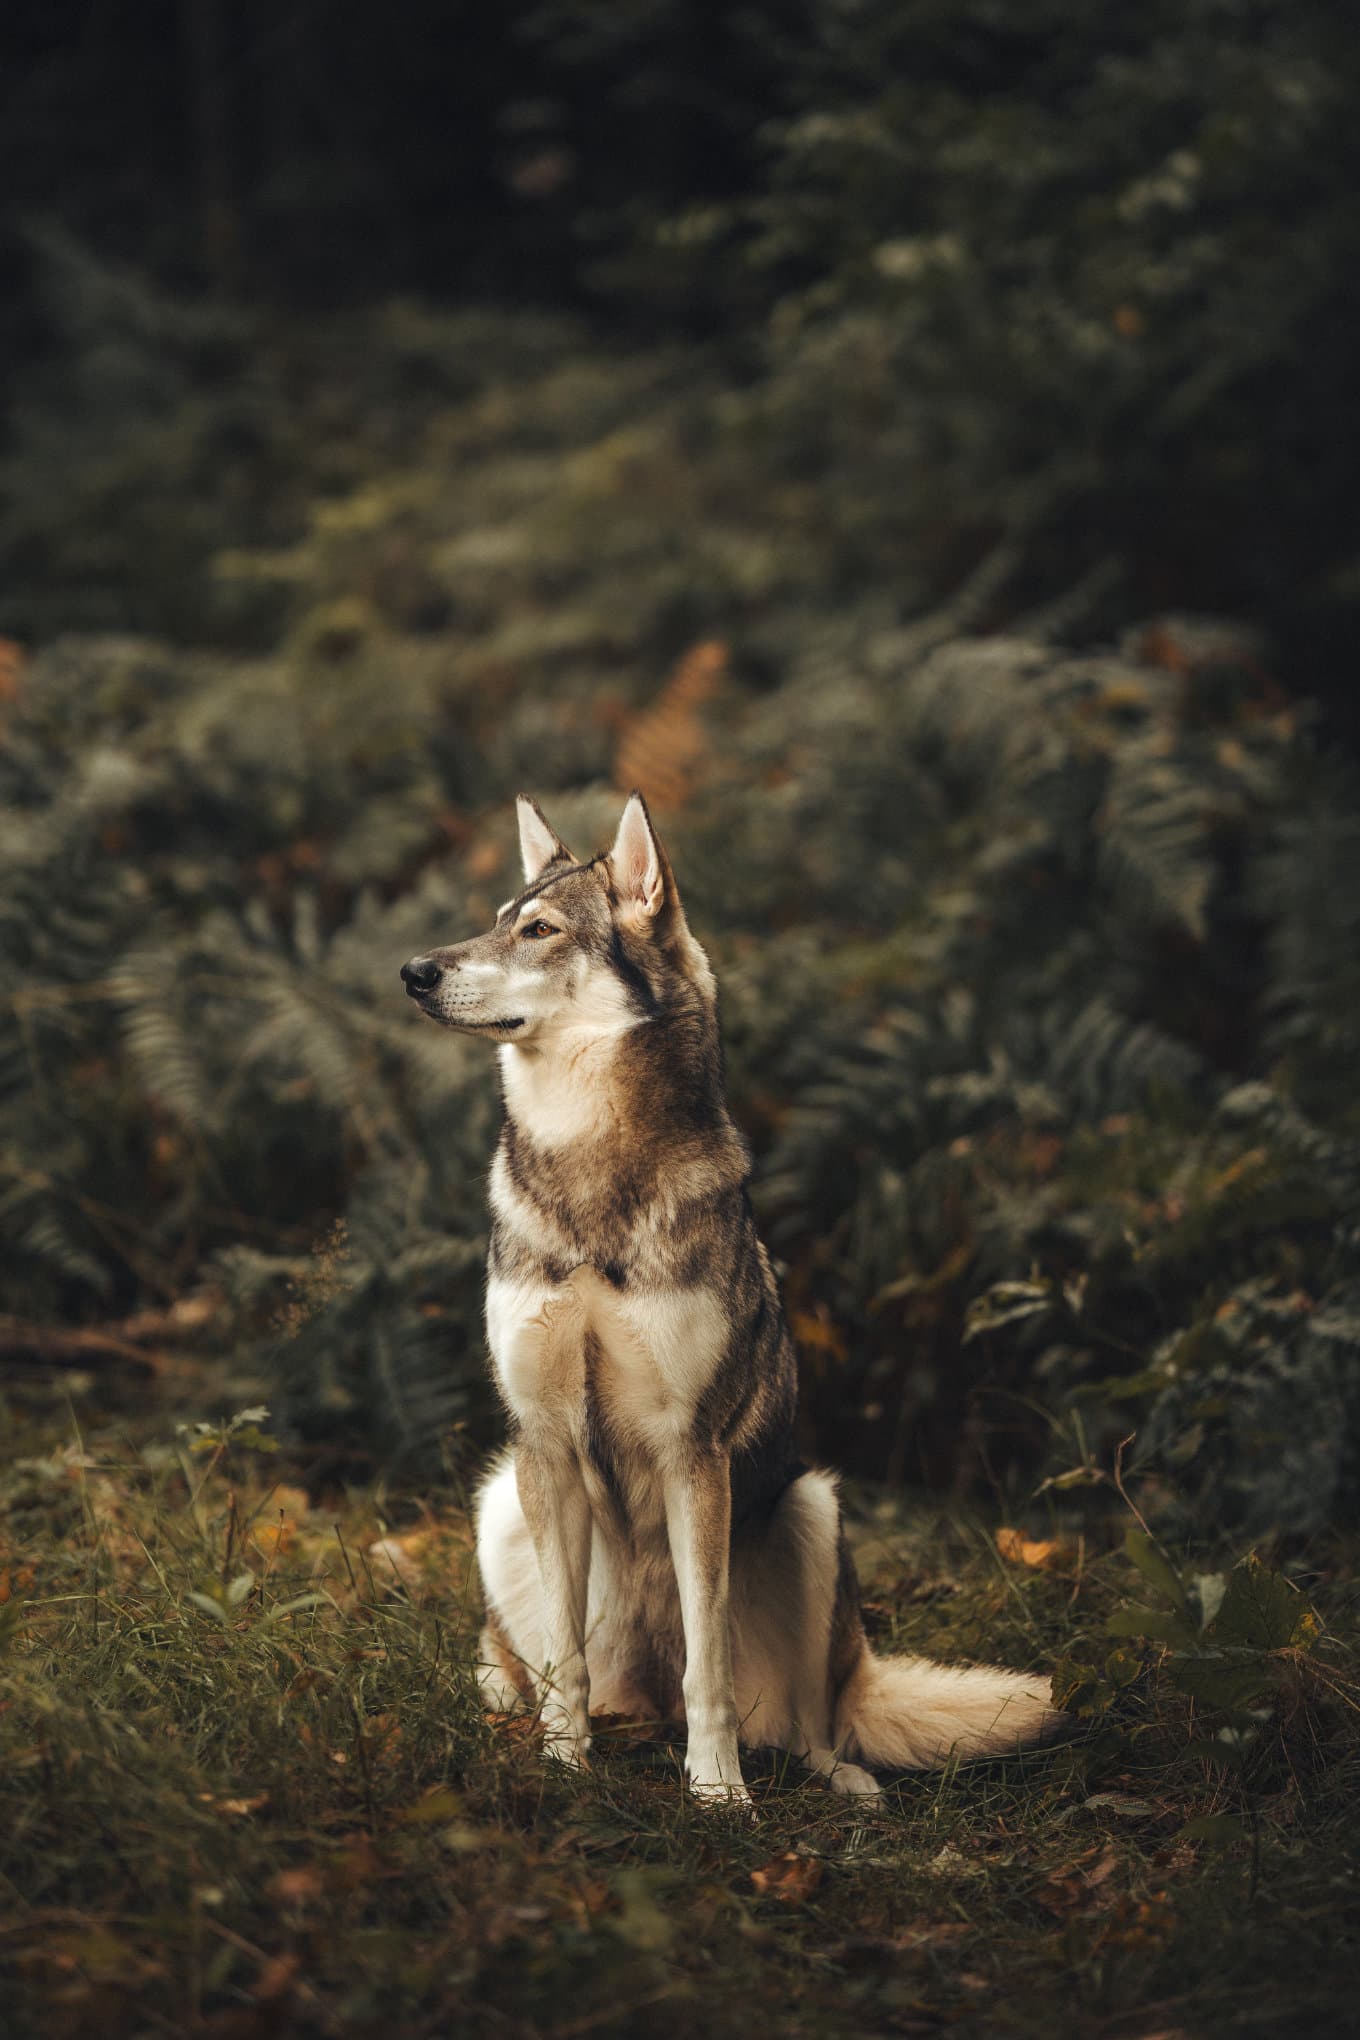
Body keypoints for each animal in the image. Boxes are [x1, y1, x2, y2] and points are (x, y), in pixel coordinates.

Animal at [401, 792, 1063, 1807]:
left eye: (541, 929)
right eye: (497, 918)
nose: (414, 972)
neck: (589, 1173)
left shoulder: (692, 1451)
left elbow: (705, 1665)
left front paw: (716, 1795)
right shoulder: (544, 1443)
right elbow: (563, 1663)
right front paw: (564, 1767)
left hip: (812, 1512)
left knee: (812, 1720)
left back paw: (839, 1779)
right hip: (502, 1501)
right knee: (541, 1664)